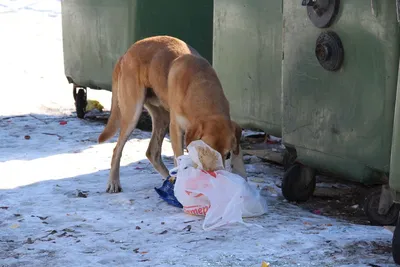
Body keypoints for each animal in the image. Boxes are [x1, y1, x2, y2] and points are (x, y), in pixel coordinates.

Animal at [98, 36, 245, 195]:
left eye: (228, 155)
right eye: (206, 153)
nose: (215, 177)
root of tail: (125, 54)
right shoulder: (176, 129)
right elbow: (179, 156)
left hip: (162, 118)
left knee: (152, 152)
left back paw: (170, 179)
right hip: (132, 114)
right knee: (117, 149)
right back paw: (113, 182)